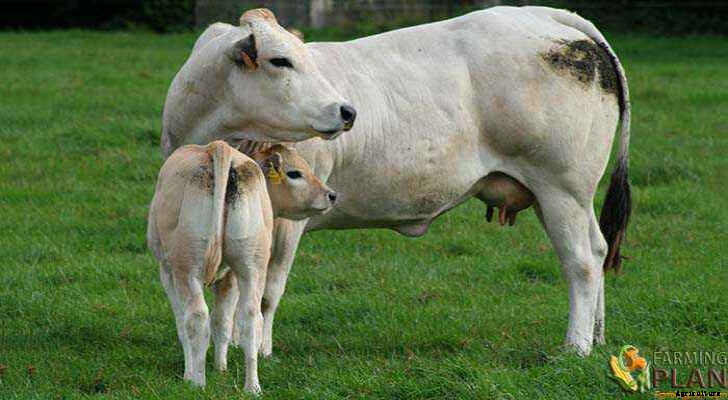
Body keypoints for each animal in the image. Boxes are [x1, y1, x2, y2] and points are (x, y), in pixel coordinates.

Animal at [147, 141, 336, 393]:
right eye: (294, 173)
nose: (331, 195)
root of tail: (217, 147)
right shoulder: (231, 276)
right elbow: (223, 321)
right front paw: (221, 367)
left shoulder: (167, 270)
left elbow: (184, 322)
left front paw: (191, 373)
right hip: (251, 264)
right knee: (251, 317)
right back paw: (252, 387)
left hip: (188, 267)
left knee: (196, 316)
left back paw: (198, 383)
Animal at [161, 6, 632, 358]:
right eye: (281, 60)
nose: (347, 111)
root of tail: (545, 15)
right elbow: (231, 289)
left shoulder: (289, 219)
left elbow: (264, 293)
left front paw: (258, 349)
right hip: (568, 196)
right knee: (598, 249)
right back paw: (597, 335)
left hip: (561, 189)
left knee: (581, 262)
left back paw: (577, 345)